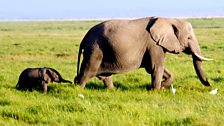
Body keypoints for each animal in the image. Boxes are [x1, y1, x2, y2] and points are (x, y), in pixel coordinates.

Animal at [74, 16, 213, 89]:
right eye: (189, 38)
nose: (210, 85)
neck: (168, 19)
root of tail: (84, 38)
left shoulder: (156, 46)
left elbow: (155, 68)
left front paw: (162, 86)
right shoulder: (153, 45)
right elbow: (156, 67)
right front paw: (156, 90)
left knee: (105, 76)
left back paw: (113, 90)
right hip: (95, 49)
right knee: (87, 71)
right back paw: (78, 89)